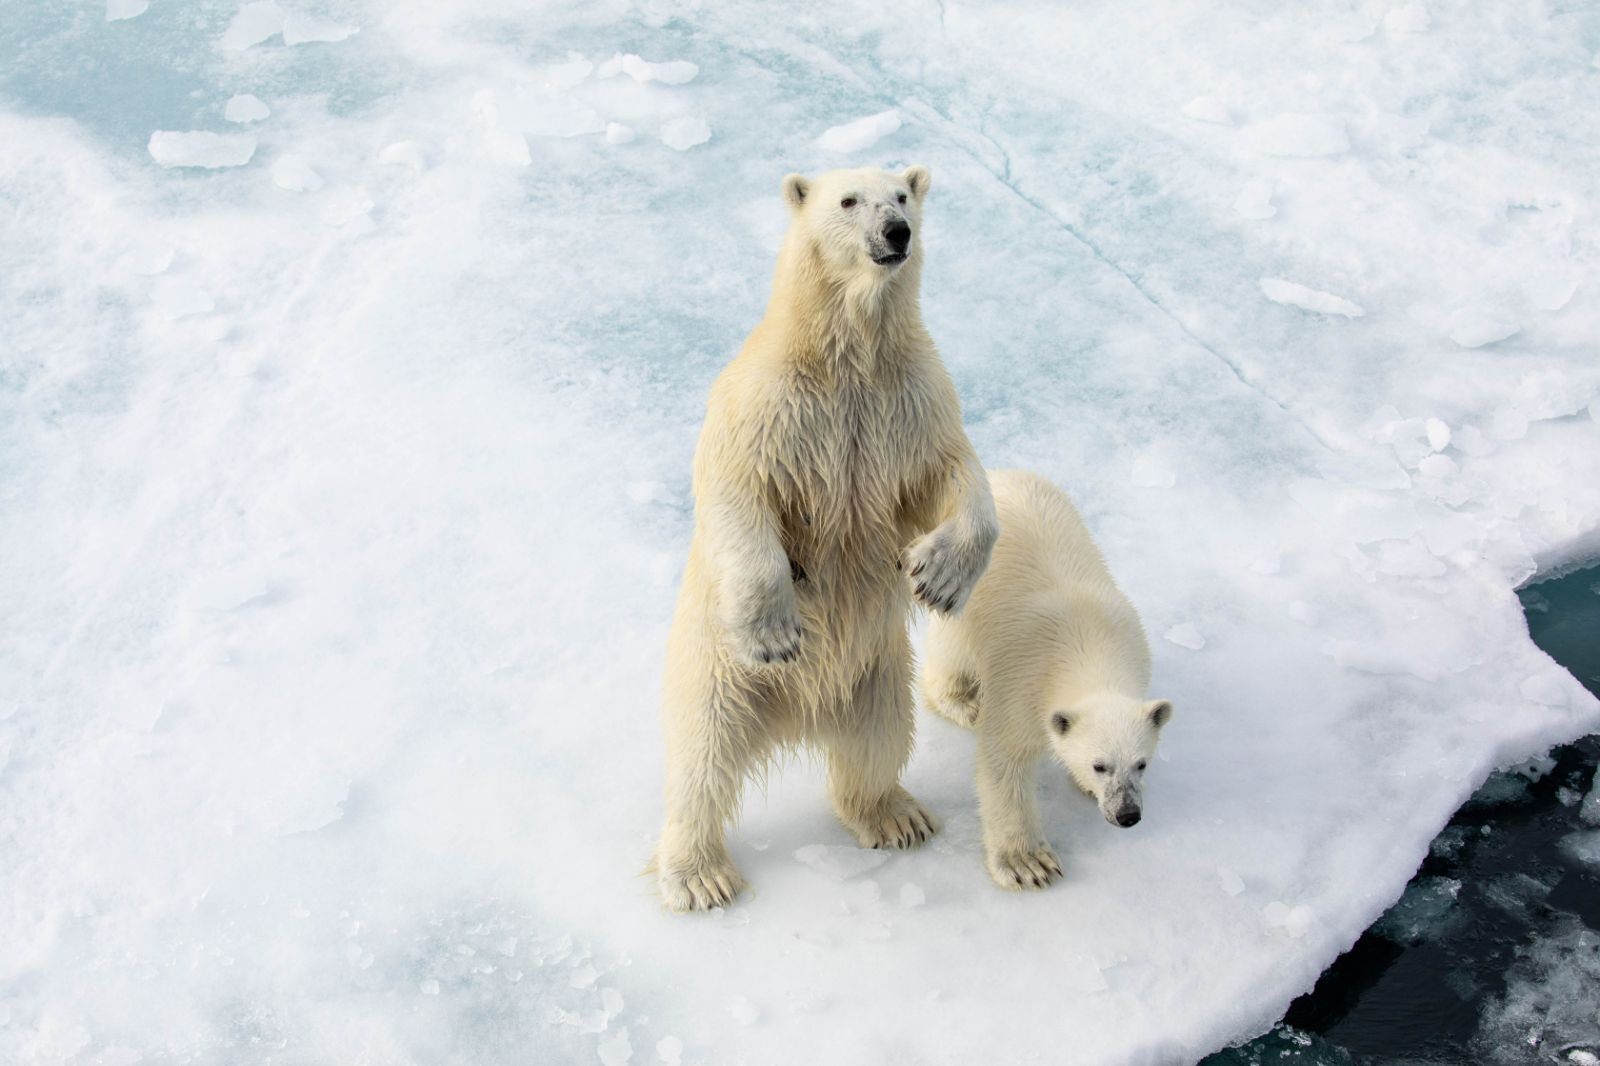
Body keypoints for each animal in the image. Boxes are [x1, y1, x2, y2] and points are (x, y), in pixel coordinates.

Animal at [654, 165, 999, 913]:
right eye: (848, 200)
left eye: (902, 196)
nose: (895, 233)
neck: (848, 358)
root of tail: (799, 718)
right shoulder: (769, 406)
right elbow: (739, 491)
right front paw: (777, 631)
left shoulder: (910, 398)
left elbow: (952, 473)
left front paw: (937, 576)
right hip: (717, 672)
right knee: (701, 760)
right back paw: (698, 874)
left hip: (879, 672)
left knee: (878, 740)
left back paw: (897, 816)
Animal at [920, 469, 1174, 890]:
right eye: (1099, 765)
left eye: (1141, 763)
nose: (1128, 815)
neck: (1089, 646)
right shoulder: (1021, 678)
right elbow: (1005, 761)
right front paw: (1027, 863)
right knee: (950, 651)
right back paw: (964, 703)